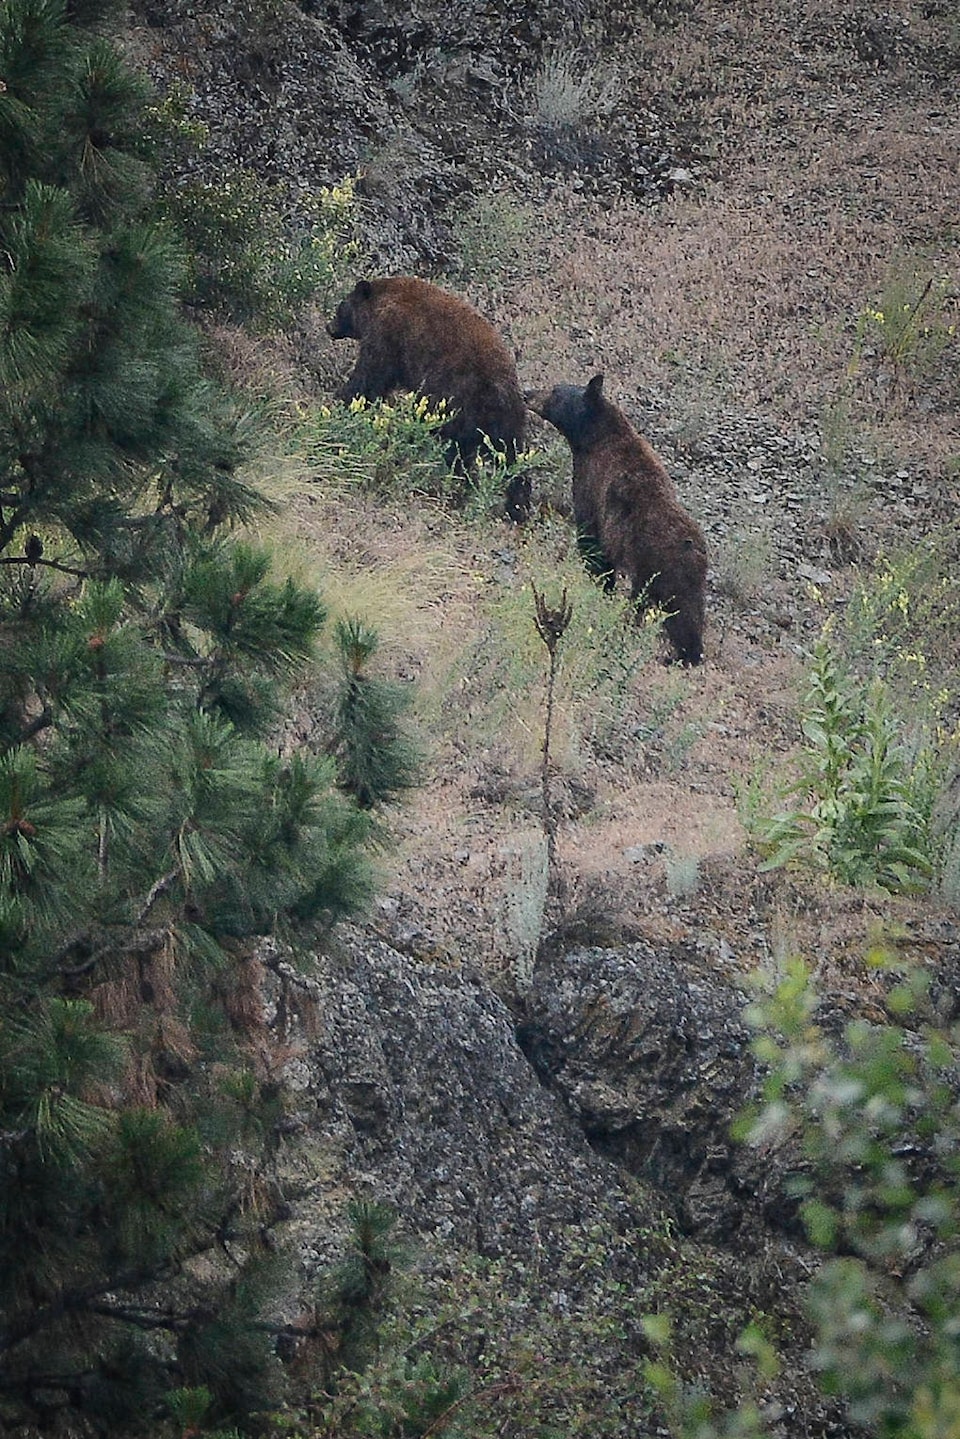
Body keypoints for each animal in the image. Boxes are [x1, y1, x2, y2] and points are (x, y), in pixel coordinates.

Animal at [326, 274, 529, 518]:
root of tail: (502, 393)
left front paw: (341, 399)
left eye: (340, 306)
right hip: (509, 423)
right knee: (513, 457)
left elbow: (370, 376)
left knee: (457, 451)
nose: (329, 327)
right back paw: (517, 507)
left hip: (458, 402)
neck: (382, 299)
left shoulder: (388, 334)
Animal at [526, 371, 705, 661]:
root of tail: (692, 550)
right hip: (690, 583)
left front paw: (598, 583)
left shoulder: (592, 485)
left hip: (657, 570)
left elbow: (591, 539)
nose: (527, 393)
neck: (594, 437)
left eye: (554, 391)